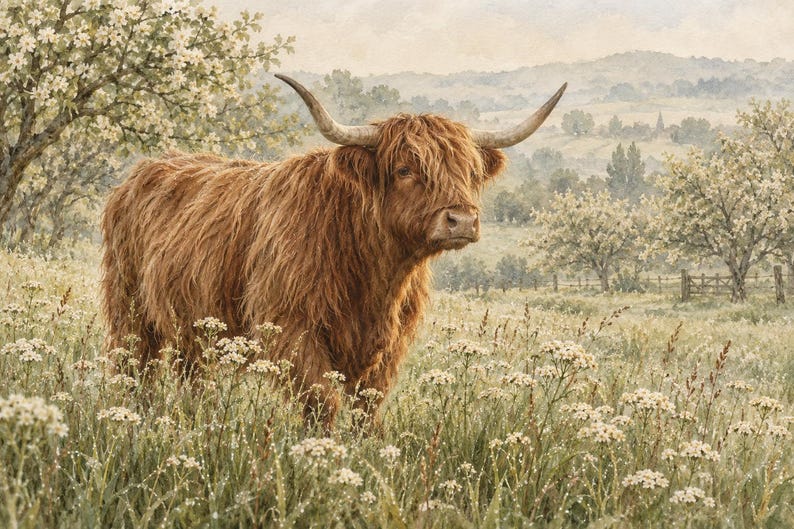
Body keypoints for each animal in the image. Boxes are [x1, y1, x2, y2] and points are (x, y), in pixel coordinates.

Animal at [100, 74, 565, 426]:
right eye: (404, 169)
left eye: (470, 171)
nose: (462, 221)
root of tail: (144, 169)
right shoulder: (290, 326)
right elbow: (322, 402)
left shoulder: (388, 346)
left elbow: (367, 408)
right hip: (130, 312)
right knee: (134, 369)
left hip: (191, 329)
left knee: (190, 375)